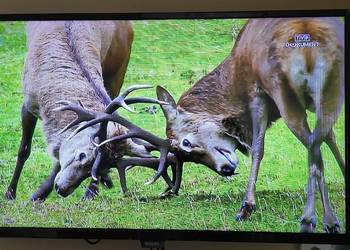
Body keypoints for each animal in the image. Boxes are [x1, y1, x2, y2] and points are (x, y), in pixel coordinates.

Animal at [155, 17, 344, 232]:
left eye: (184, 143)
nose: (225, 170)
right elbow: (331, 138)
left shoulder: (257, 93)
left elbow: (257, 148)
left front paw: (247, 206)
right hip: (332, 89)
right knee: (317, 142)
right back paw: (327, 220)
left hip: (283, 92)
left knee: (312, 147)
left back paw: (313, 219)